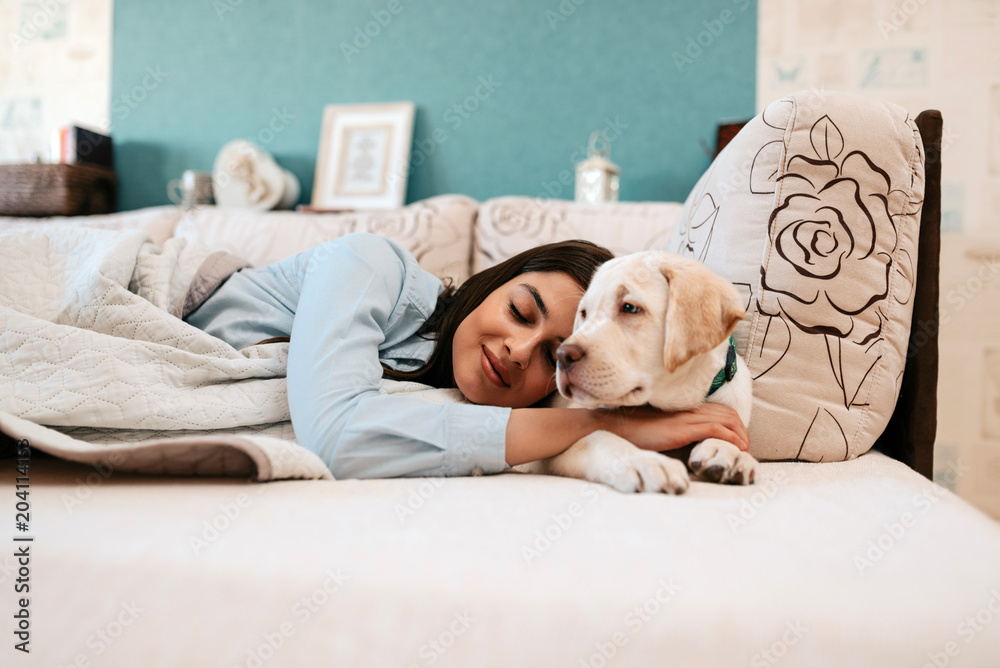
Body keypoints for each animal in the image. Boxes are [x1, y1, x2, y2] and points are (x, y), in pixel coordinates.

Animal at [516, 250, 756, 490]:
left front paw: (726, 450)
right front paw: (643, 461)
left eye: (630, 308)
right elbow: (595, 436)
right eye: (584, 313)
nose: (562, 356)